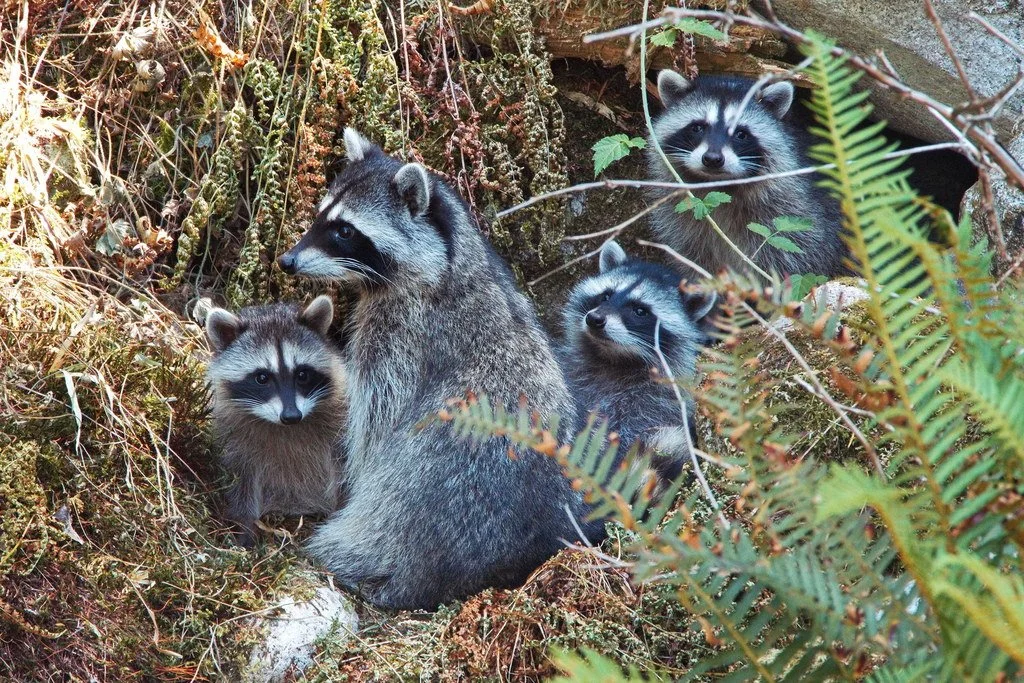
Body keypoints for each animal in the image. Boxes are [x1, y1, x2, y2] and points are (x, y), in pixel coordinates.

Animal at [205, 295, 347, 546]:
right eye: (262, 377)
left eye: (302, 374)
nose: (291, 416)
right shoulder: (230, 433)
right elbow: (239, 479)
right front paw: (244, 526)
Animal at [277, 128, 599, 610]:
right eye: (321, 217)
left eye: (345, 230)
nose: (288, 260)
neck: (448, 263)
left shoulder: (404, 339)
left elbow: (374, 422)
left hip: (417, 508)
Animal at [647, 70, 849, 278]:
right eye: (697, 128)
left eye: (740, 134)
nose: (712, 159)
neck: (720, 185)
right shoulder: (682, 219)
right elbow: (692, 255)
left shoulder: (797, 214)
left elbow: (798, 258)